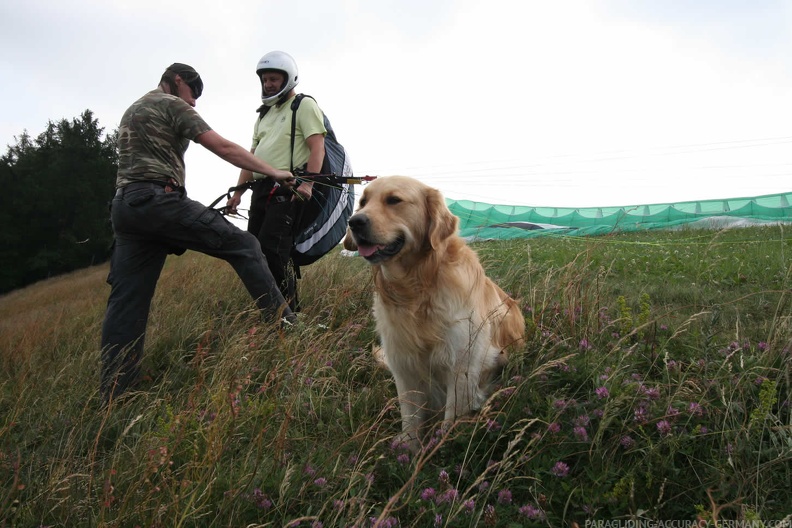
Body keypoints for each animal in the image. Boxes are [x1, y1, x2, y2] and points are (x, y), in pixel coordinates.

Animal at [342, 176, 524, 450]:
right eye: (362, 202)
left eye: (394, 200)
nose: (354, 221)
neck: (417, 288)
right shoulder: (403, 364)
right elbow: (410, 415)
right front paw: (408, 448)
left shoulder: (462, 364)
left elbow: (452, 416)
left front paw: (442, 447)